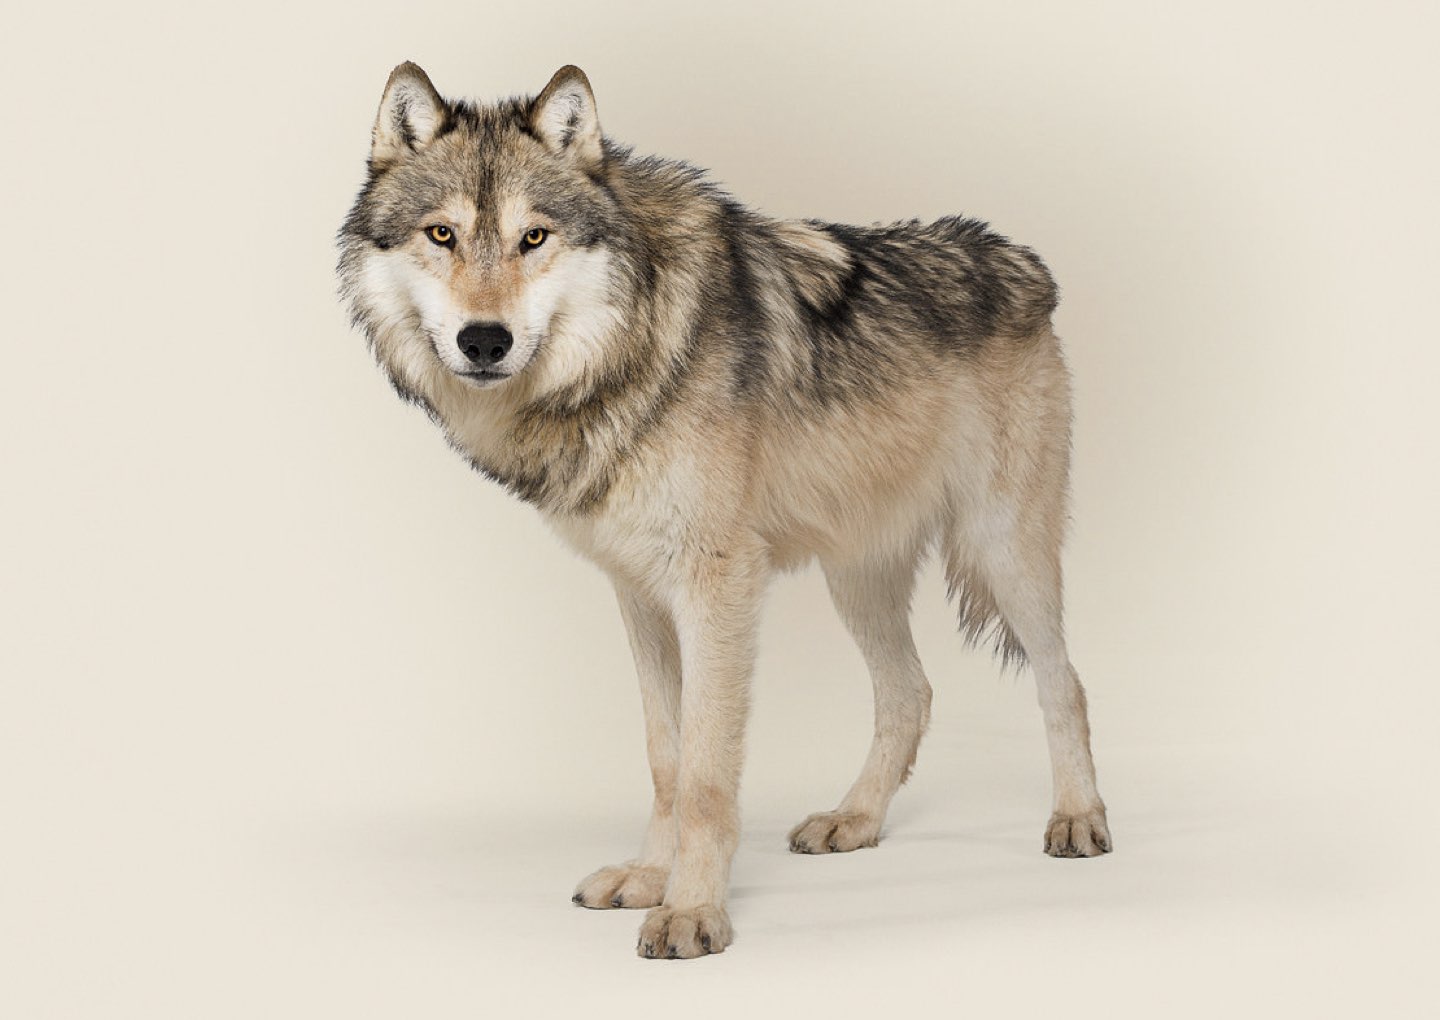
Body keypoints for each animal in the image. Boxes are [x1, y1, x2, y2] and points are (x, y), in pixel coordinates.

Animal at [337, 62, 1110, 959]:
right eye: (442, 235)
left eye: (534, 237)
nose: (484, 341)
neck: (632, 348)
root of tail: (1021, 259)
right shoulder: (639, 595)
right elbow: (666, 757)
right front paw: (649, 878)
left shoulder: (717, 585)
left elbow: (707, 772)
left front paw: (694, 912)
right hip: (858, 579)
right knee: (910, 693)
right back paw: (855, 820)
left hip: (1002, 552)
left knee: (1064, 682)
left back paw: (1078, 819)